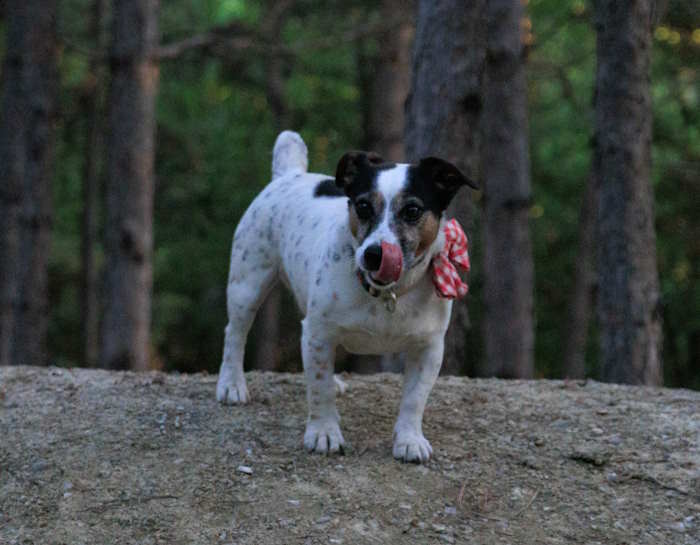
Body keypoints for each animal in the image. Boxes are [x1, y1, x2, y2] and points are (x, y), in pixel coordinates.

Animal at [219, 130, 478, 462]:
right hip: (247, 284)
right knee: (235, 334)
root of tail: (289, 174)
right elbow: (319, 391)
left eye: (413, 211)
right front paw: (324, 433)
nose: (374, 254)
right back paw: (231, 385)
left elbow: (414, 399)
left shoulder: (428, 348)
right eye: (363, 206)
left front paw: (409, 440)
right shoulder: (318, 332)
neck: (387, 295)